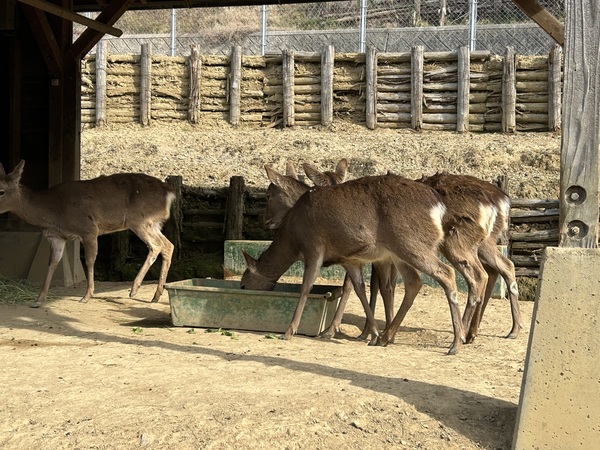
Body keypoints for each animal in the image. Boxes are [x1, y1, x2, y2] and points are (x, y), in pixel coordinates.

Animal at [0, 159, 175, 310]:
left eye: (1, 191)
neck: (54, 211)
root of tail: (170, 192)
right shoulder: (57, 237)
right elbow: (52, 264)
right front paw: (38, 300)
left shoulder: (88, 229)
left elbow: (90, 261)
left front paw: (86, 296)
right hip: (153, 223)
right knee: (168, 245)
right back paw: (156, 295)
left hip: (140, 220)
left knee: (156, 245)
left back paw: (134, 289)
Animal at [239, 172, 464, 356]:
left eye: (243, 283)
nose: (265, 220)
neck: (293, 239)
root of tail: (438, 206)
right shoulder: (349, 260)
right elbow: (359, 289)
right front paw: (373, 334)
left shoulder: (314, 247)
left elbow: (306, 287)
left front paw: (288, 331)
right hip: (399, 252)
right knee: (414, 282)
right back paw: (385, 337)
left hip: (410, 244)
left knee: (447, 273)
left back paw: (455, 344)